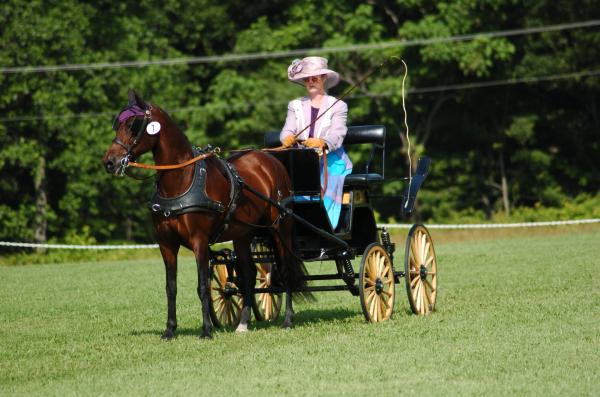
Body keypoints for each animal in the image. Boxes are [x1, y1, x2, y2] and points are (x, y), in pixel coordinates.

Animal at [102, 89, 304, 338]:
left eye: (133, 125)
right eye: (117, 125)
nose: (109, 162)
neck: (181, 181)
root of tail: (270, 161)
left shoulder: (199, 241)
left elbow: (203, 286)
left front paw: (206, 330)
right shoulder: (166, 243)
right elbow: (171, 287)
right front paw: (169, 330)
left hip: (279, 229)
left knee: (285, 270)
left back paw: (288, 319)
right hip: (243, 235)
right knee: (248, 275)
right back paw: (243, 323)